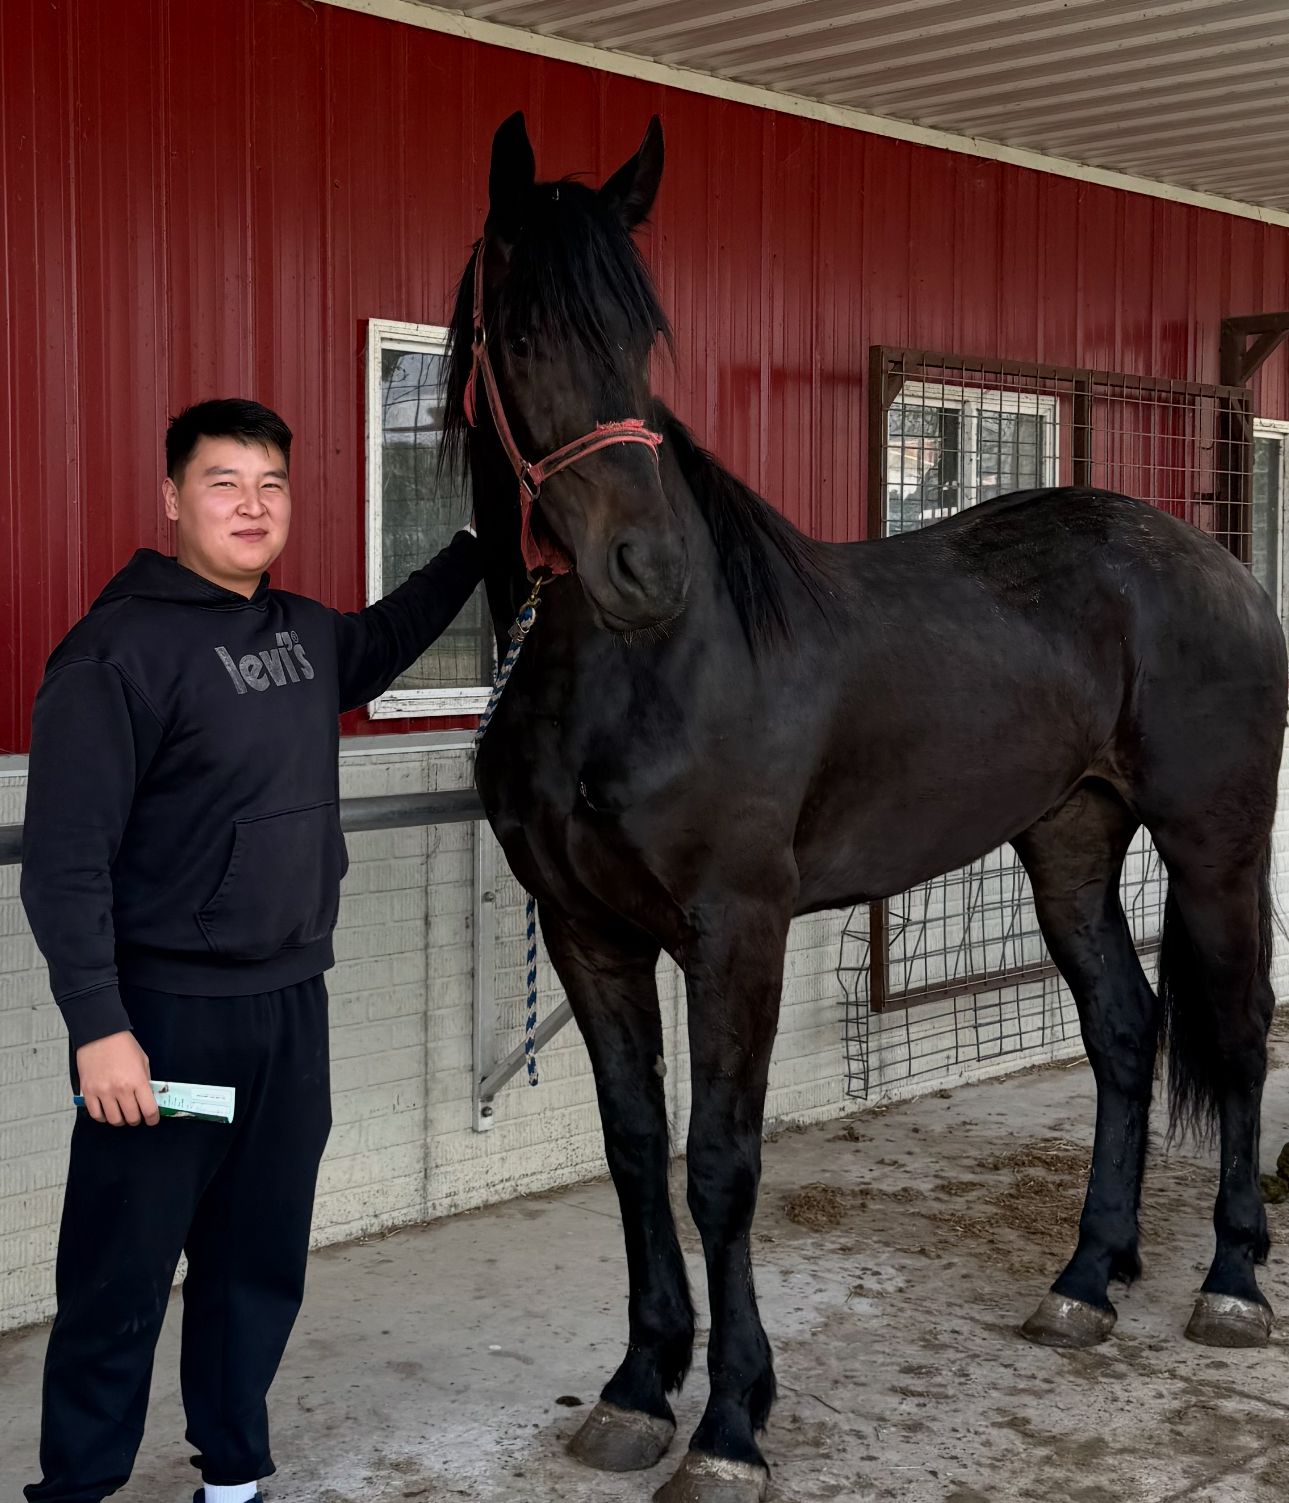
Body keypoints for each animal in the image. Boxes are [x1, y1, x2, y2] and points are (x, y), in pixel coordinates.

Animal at [445, 111, 1288, 1503]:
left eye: (640, 339)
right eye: (518, 337)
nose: (642, 570)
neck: (636, 671)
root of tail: (1214, 563)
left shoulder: (736, 932)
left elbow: (718, 1164)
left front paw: (730, 1425)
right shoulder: (586, 936)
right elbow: (633, 1152)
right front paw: (636, 1390)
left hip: (1212, 847)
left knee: (1235, 1027)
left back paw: (1228, 1283)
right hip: (1067, 844)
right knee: (1123, 1028)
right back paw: (1082, 1282)